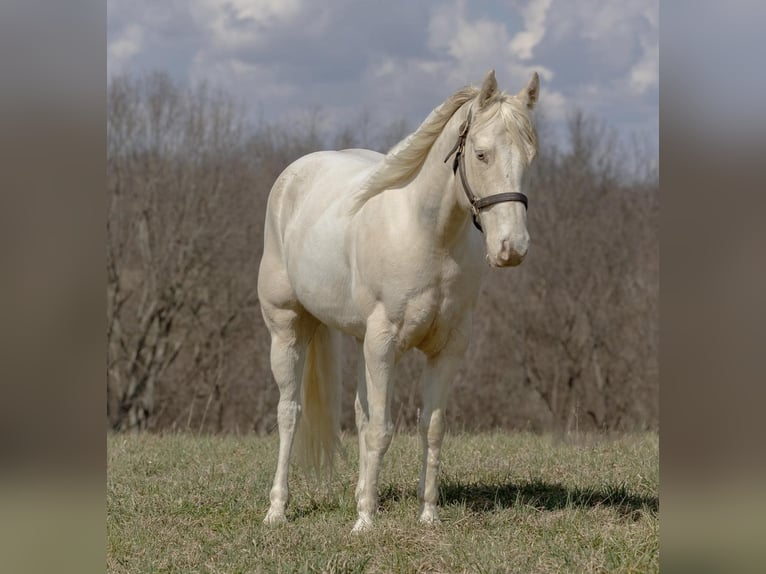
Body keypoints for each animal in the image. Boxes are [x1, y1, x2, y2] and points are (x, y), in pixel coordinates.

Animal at [258, 70, 540, 532]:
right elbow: (382, 430)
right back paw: (277, 510)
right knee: (289, 412)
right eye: (482, 154)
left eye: (530, 157)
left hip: (358, 342)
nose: (511, 249)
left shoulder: (446, 350)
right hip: (287, 330)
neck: (428, 236)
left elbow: (430, 427)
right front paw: (365, 523)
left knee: (357, 415)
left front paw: (427, 515)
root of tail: (294, 175)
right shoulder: (384, 344)